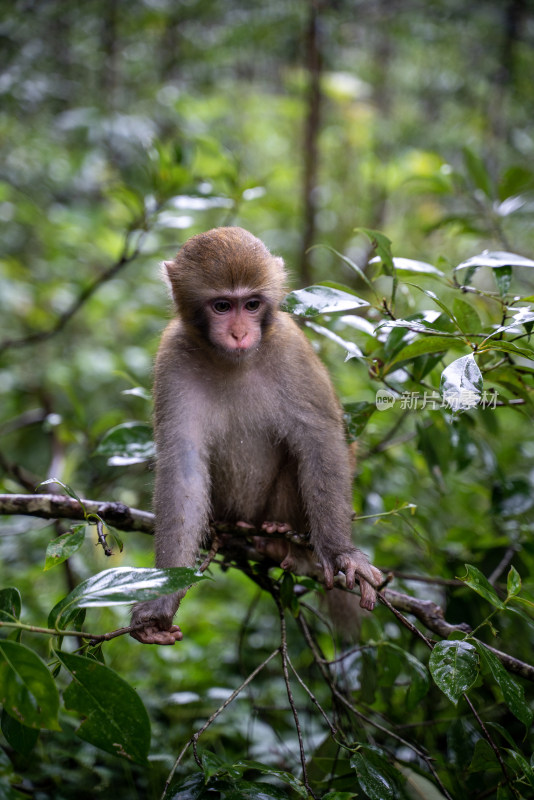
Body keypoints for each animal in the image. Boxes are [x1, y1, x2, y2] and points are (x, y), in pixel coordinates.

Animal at [131, 225, 384, 644]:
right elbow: (183, 471)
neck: (232, 361)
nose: (238, 333)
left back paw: (284, 542)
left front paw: (341, 552)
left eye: (251, 305)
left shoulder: (290, 348)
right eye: (222, 306)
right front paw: (161, 602)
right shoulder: (172, 357)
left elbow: (320, 442)